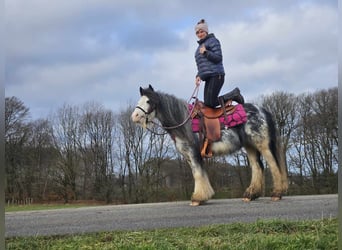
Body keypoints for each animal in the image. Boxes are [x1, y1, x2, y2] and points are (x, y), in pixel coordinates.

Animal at [132, 85, 288, 206]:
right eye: (139, 100)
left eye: (148, 100)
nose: (134, 116)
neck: (183, 121)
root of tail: (262, 110)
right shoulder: (188, 156)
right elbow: (198, 174)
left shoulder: (193, 152)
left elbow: (198, 174)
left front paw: (198, 198)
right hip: (250, 146)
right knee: (257, 167)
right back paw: (250, 195)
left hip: (263, 145)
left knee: (273, 165)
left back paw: (276, 193)